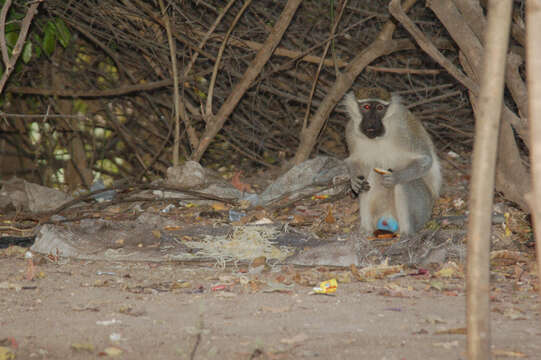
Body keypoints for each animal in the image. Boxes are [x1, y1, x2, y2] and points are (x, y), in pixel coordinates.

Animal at [344, 88, 440, 235]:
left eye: (379, 108)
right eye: (366, 107)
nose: (372, 121)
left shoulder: (404, 129)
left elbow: (425, 160)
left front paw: (395, 177)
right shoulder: (350, 130)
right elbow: (354, 160)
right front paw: (354, 180)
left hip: (423, 210)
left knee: (405, 183)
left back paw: (407, 233)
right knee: (371, 177)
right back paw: (366, 231)